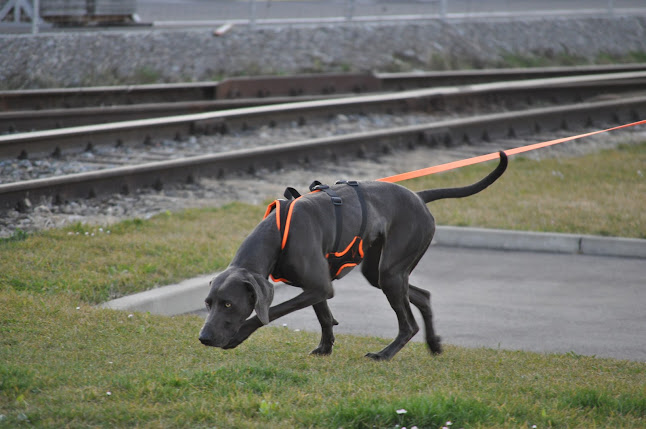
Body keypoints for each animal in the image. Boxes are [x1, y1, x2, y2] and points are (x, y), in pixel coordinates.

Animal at [200, 152, 508, 360]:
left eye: (228, 304)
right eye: (207, 303)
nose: (203, 338)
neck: (277, 235)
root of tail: (419, 197)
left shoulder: (318, 286)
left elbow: (269, 313)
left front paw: (238, 336)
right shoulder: (317, 286)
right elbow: (324, 317)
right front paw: (325, 347)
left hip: (391, 272)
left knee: (408, 325)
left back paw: (385, 354)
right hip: (382, 271)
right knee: (423, 296)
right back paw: (433, 343)